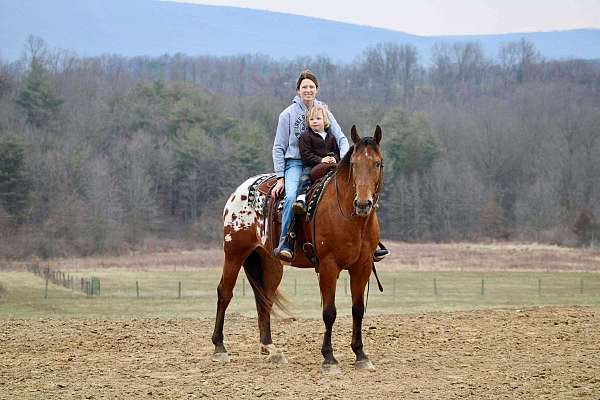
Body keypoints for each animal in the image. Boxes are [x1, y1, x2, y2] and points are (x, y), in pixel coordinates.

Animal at [211, 126, 384, 374]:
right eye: (354, 164)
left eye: (377, 163)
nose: (363, 204)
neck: (351, 219)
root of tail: (238, 192)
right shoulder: (329, 266)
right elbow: (329, 312)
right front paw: (329, 358)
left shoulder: (362, 266)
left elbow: (358, 309)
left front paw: (361, 355)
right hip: (234, 253)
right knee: (224, 292)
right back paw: (219, 347)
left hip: (270, 263)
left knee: (265, 299)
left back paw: (270, 349)